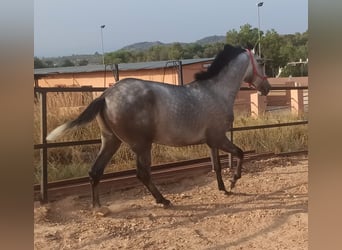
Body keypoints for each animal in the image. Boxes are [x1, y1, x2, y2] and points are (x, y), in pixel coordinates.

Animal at [46, 44, 270, 207]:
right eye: (260, 62)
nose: (267, 88)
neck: (216, 92)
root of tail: (105, 95)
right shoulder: (219, 137)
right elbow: (240, 153)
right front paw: (234, 181)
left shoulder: (211, 141)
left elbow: (216, 166)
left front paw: (223, 188)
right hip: (141, 145)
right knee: (142, 173)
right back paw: (163, 200)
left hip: (111, 140)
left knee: (95, 172)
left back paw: (99, 208)